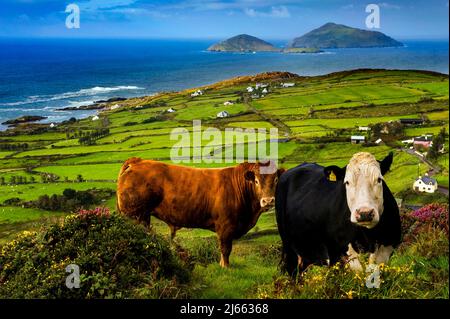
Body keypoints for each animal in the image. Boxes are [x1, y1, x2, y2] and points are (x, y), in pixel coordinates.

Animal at [118, 159, 284, 268]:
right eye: (256, 181)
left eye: (276, 180)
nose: (268, 201)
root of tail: (137, 161)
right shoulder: (225, 227)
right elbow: (225, 249)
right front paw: (225, 266)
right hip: (136, 216)